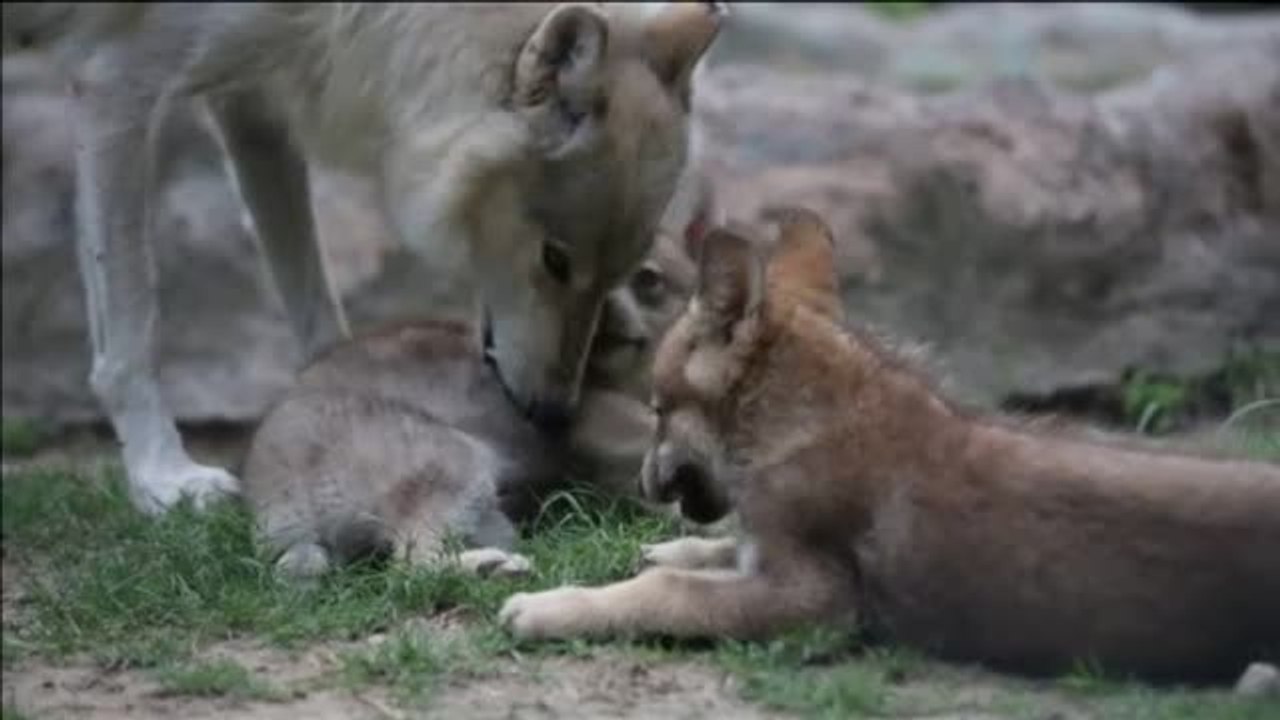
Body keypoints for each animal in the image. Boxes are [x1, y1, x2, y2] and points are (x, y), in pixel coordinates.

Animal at [1, 2, 725, 515]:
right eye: (554, 259)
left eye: (623, 273)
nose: (553, 414)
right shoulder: (118, 86)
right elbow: (131, 329)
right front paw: (164, 479)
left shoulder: (251, 102)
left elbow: (315, 304)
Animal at [240, 225, 699, 579]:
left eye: (647, 278)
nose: (600, 311)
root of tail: (274, 500)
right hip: (455, 463)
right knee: (412, 563)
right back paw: (493, 568)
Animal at [499, 209, 1280, 685]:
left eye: (659, 410)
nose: (644, 480)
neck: (801, 419)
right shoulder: (771, 553)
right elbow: (711, 550)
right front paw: (672, 547)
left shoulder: (817, 599)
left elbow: (672, 593)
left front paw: (552, 607)